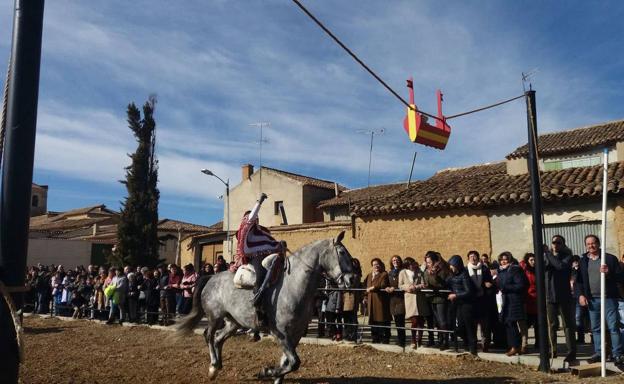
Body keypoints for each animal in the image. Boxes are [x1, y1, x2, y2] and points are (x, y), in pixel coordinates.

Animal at [177, 231, 356, 384]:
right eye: (342, 252)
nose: (352, 279)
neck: (293, 286)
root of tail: (211, 277)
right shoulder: (280, 333)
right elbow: (294, 362)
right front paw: (265, 372)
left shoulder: (295, 334)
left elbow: (287, 362)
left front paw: (273, 376)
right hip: (215, 316)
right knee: (208, 335)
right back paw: (213, 367)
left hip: (234, 322)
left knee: (218, 338)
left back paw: (217, 366)